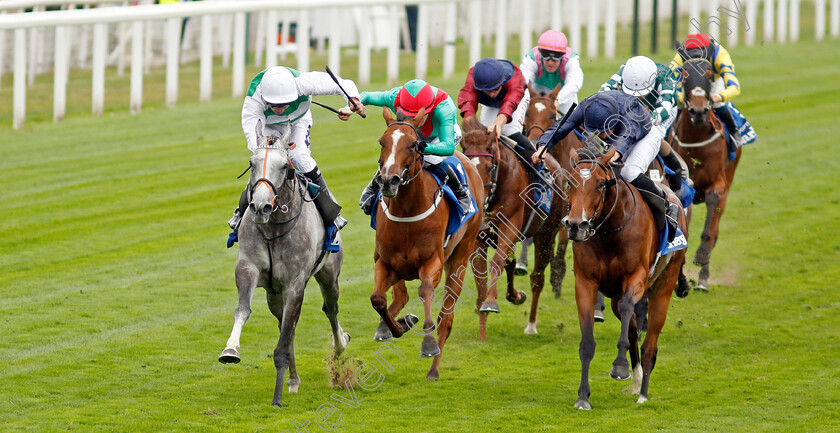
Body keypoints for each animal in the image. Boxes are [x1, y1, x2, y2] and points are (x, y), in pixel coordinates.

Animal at [218, 122, 350, 408]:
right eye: (252, 163)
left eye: (283, 167)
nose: (260, 206)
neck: (274, 227)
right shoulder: (248, 269)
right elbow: (243, 311)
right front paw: (230, 349)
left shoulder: (295, 284)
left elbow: (287, 334)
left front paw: (277, 398)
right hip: (273, 294)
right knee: (285, 327)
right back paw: (294, 379)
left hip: (329, 275)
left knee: (330, 309)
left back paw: (340, 345)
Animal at [370, 107, 486, 378]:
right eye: (382, 142)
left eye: (414, 144)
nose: (388, 180)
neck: (406, 212)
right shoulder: (385, 261)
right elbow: (378, 299)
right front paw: (398, 326)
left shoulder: (432, 262)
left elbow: (425, 291)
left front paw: (428, 344)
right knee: (399, 297)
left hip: (460, 257)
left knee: (447, 317)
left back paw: (434, 369)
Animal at [462, 116, 568, 336]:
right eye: (468, 168)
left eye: (489, 167)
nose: (478, 200)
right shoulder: (479, 237)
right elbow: (481, 276)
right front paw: (482, 331)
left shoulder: (510, 227)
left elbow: (496, 263)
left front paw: (491, 302)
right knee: (510, 263)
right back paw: (516, 296)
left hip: (546, 234)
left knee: (537, 278)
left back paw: (531, 325)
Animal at [564, 147, 688, 406]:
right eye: (570, 181)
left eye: (601, 184)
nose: (576, 225)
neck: (609, 231)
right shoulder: (585, 282)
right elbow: (588, 341)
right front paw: (583, 397)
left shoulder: (636, 277)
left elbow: (628, 310)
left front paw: (619, 367)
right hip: (614, 295)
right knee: (630, 327)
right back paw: (638, 379)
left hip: (663, 285)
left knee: (650, 344)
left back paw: (643, 393)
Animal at [668, 58, 740, 290]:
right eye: (684, 76)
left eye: (709, 75)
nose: (699, 112)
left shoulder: (718, 185)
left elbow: (710, 228)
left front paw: (701, 256)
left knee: (715, 230)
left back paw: (703, 279)